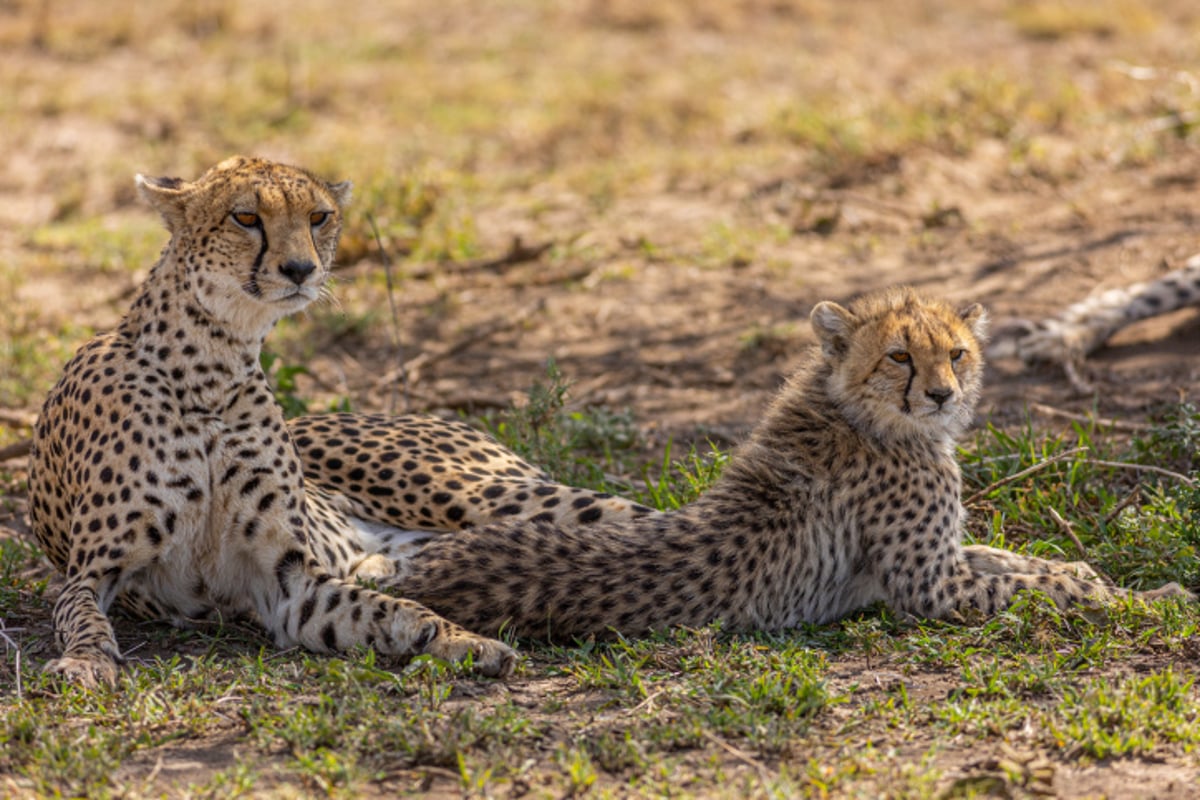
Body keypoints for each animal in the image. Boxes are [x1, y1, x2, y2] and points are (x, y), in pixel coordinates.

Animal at [379, 287, 1185, 638]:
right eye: (900, 356)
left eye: (956, 352)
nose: (942, 393)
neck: (858, 411)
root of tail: (407, 571)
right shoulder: (928, 587)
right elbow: (1034, 587)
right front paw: (1138, 599)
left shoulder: (948, 558)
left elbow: (1023, 562)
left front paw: (1101, 576)